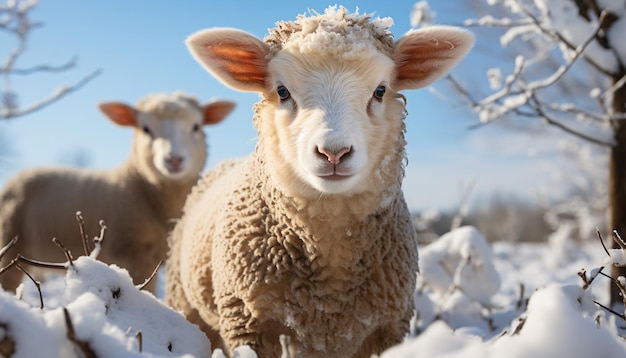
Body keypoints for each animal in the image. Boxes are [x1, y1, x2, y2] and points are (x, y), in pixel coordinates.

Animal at [166, 6, 472, 358]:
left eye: (380, 90)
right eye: (282, 91)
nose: (333, 152)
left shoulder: (387, 327)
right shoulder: (247, 320)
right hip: (186, 301)